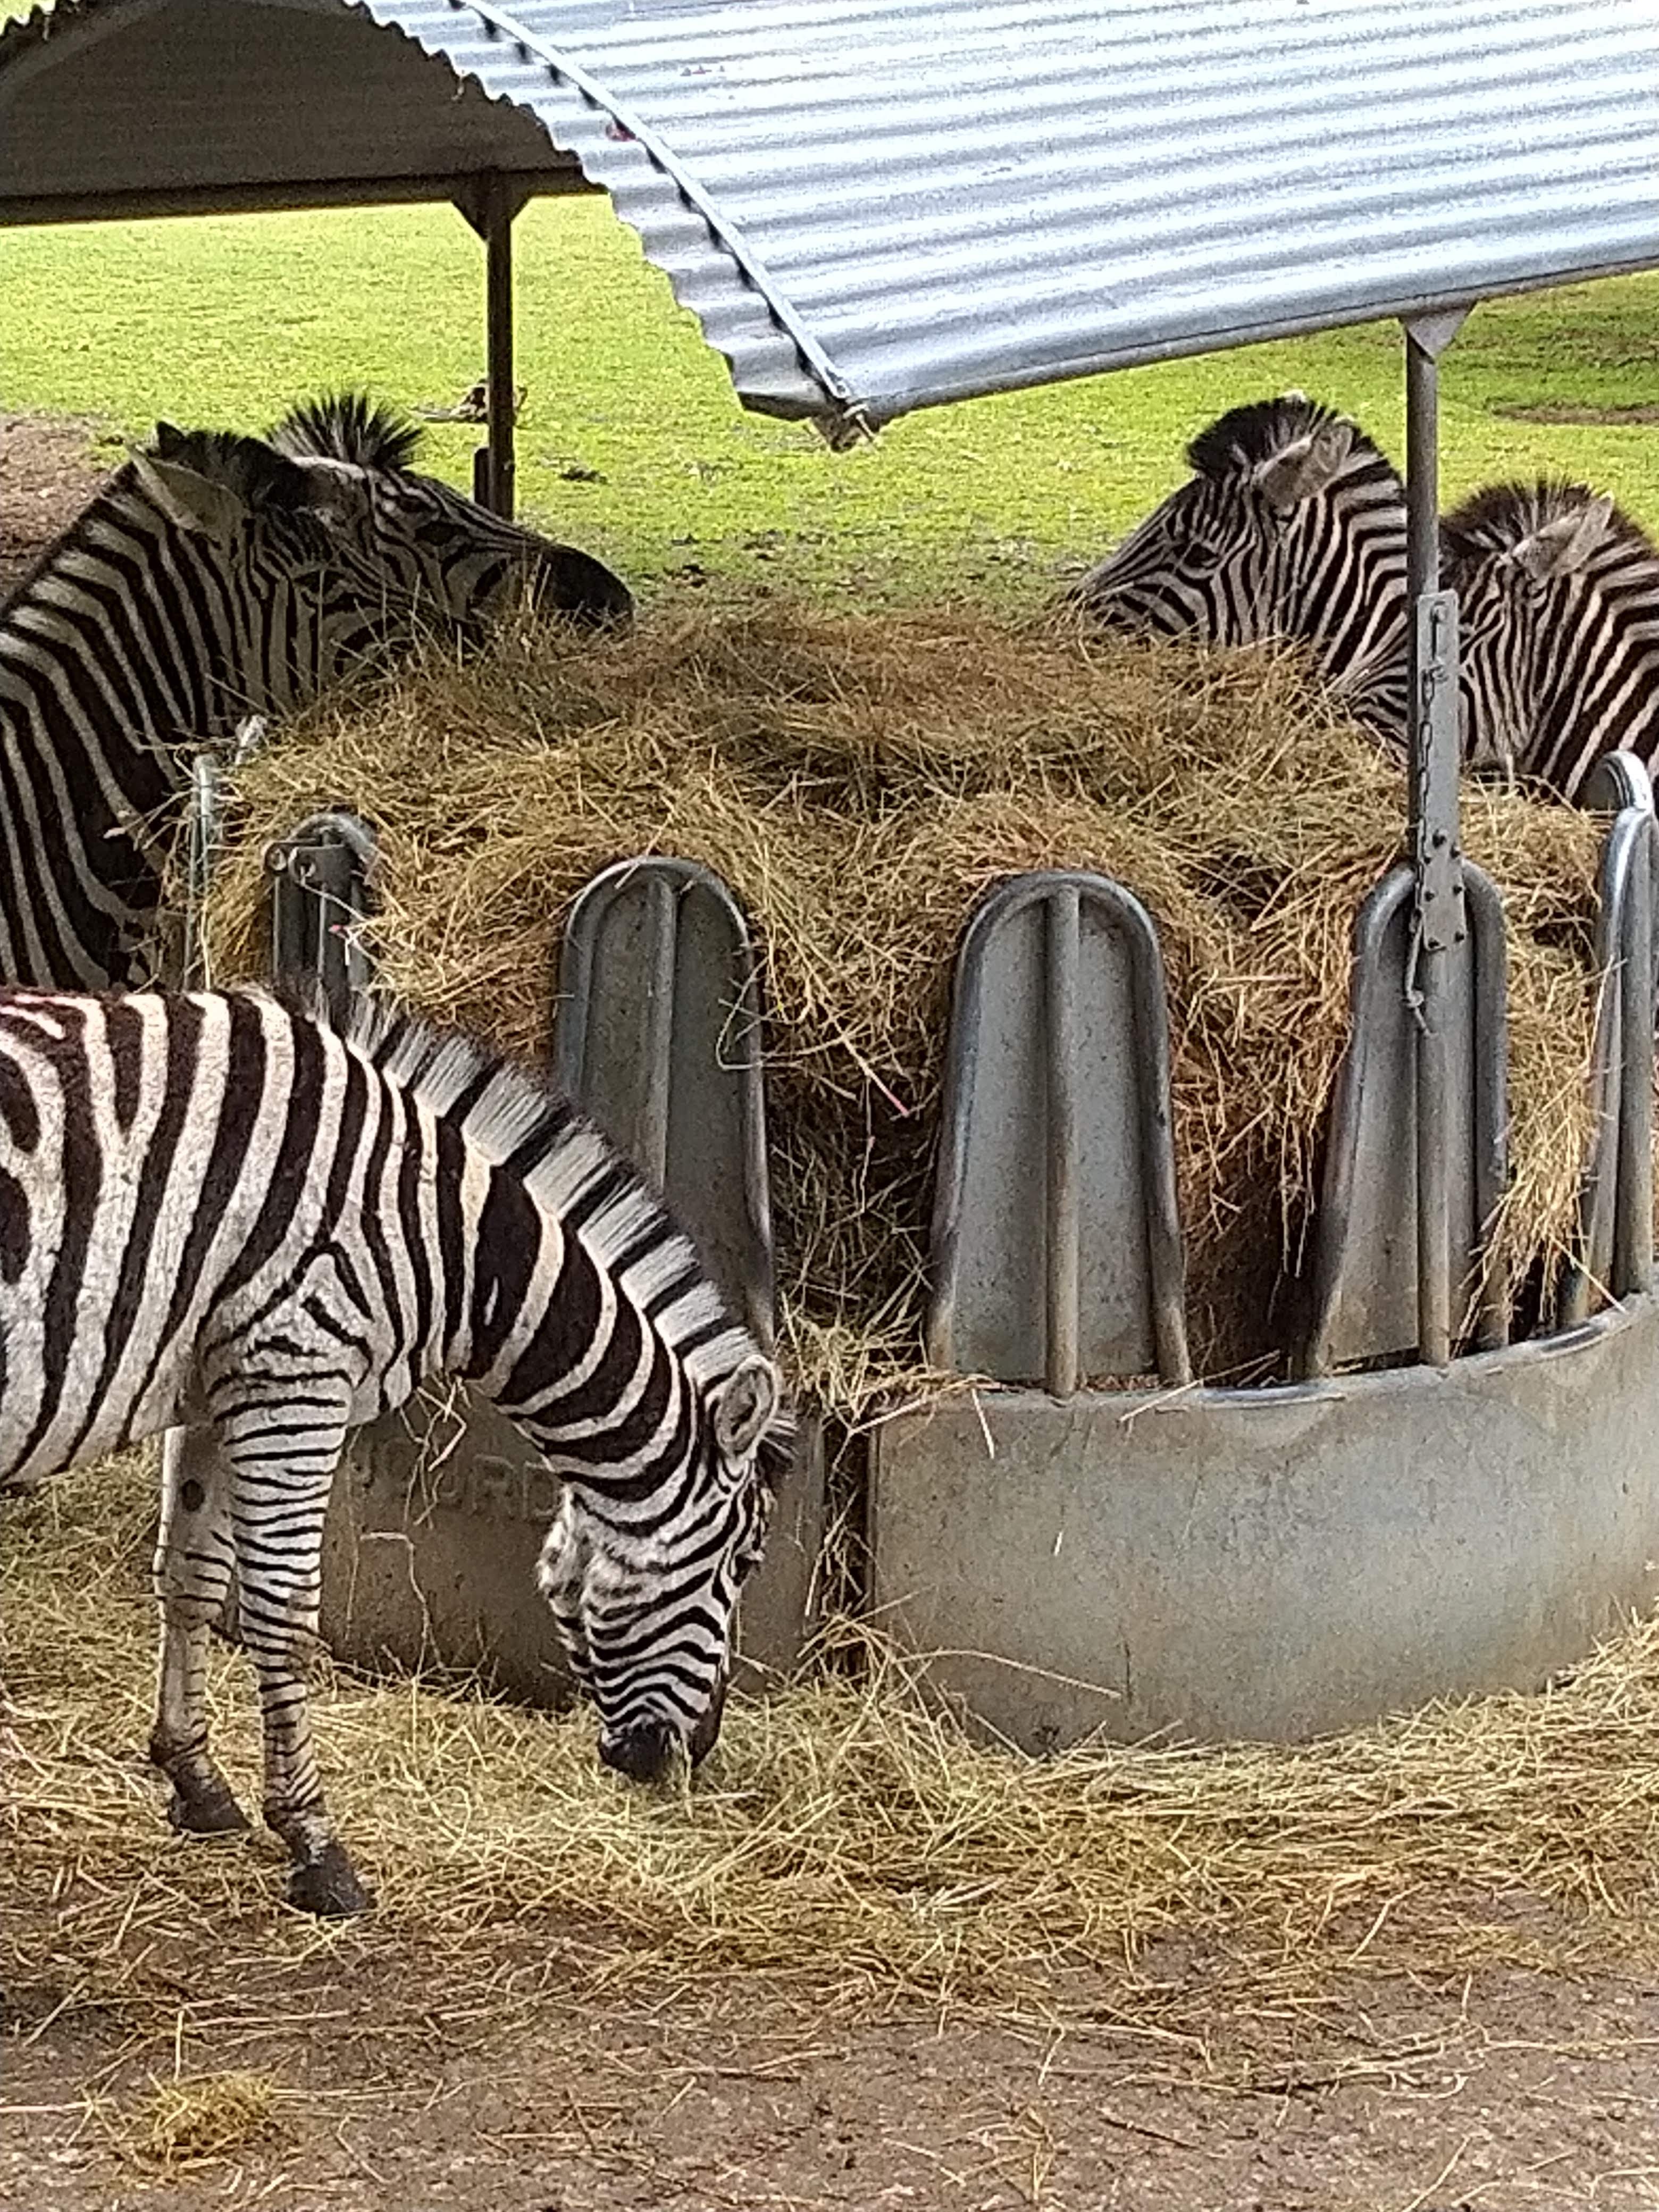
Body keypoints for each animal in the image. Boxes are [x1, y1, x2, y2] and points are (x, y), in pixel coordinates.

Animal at [0, 984, 790, 1917]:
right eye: (740, 1566)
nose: (692, 1755)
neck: (447, 1234)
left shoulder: (214, 1382)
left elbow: (189, 1580)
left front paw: (195, 1782)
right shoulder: (297, 1372)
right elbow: (282, 1613)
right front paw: (314, 1844)